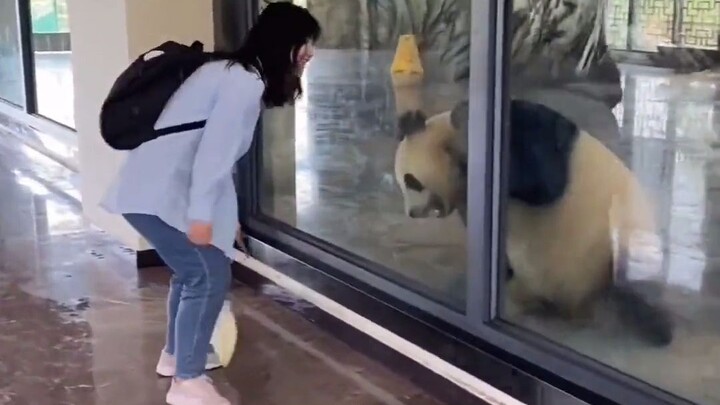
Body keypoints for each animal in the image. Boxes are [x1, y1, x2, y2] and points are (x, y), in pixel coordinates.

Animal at [394, 99, 674, 346]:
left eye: (411, 181)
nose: (412, 212)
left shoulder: (525, 128)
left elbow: (543, 179)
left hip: (618, 244)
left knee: (636, 285)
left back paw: (653, 326)